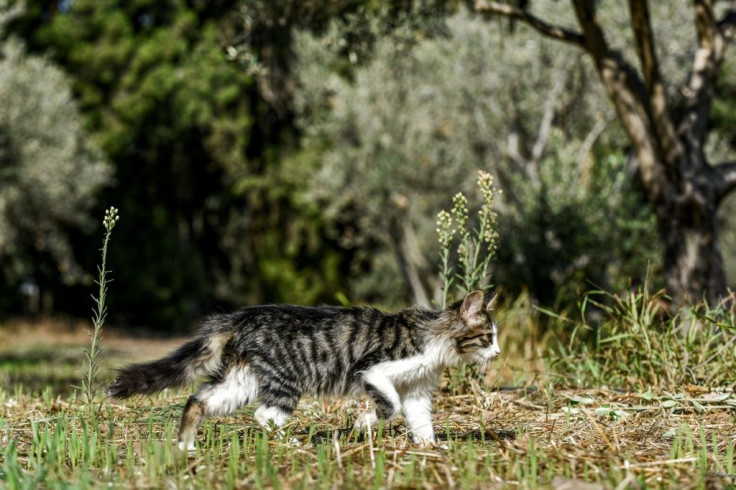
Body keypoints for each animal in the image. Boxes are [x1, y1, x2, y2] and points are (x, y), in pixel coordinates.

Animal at [108, 290, 500, 448]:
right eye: (488, 337)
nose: (497, 352)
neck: (434, 339)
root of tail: (242, 316)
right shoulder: (373, 370)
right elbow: (389, 406)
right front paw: (363, 423)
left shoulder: (417, 390)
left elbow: (420, 422)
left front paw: (430, 448)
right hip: (286, 380)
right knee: (265, 415)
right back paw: (294, 441)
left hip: (242, 381)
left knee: (198, 399)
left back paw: (185, 446)